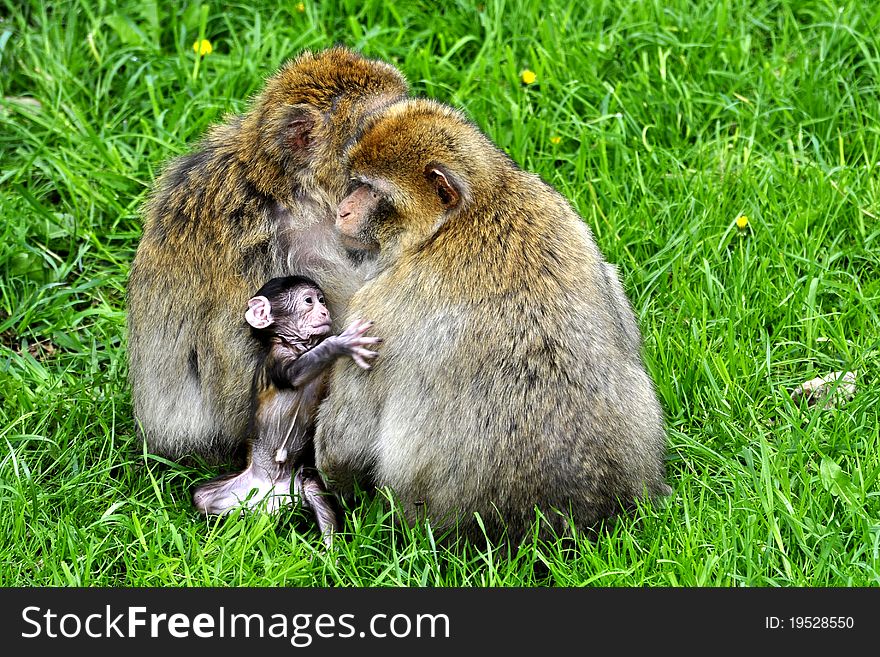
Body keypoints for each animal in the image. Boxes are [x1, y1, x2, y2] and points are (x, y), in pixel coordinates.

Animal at [194, 274, 380, 544]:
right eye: (309, 301)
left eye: (322, 300)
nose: (324, 310)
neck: (298, 346)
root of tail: (270, 493)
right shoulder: (276, 357)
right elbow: (293, 374)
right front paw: (340, 343)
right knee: (200, 497)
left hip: (297, 485)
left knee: (314, 488)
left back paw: (330, 549)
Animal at [320, 98, 672, 544]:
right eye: (353, 182)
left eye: (371, 189)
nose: (342, 211)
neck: (473, 209)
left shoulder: (374, 307)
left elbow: (347, 436)